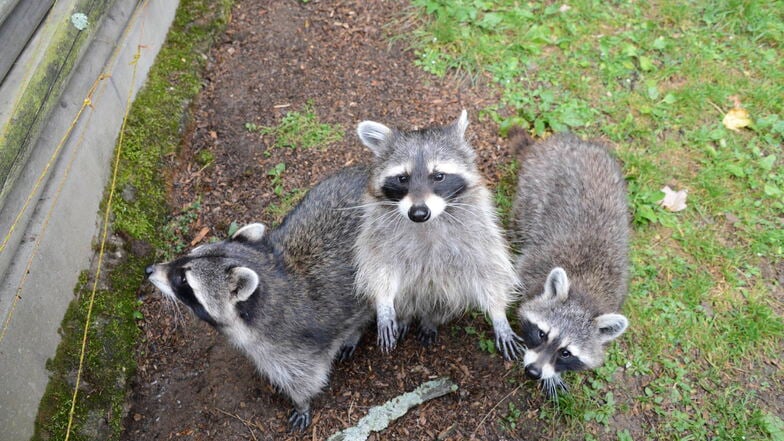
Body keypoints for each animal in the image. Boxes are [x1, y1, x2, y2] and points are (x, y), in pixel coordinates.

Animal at [146, 166, 374, 430]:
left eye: (183, 280)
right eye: (184, 258)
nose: (149, 270)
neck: (272, 271)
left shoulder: (292, 345)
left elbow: (305, 377)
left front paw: (301, 402)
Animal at [354, 110, 524, 358]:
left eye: (438, 176)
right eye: (402, 178)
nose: (418, 213)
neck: (429, 223)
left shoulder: (479, 232)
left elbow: (489, 271)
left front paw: (498, 314)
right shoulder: (379, 233)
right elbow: (380, 268)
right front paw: (384, 304)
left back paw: (430, 321)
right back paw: (404, 318)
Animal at [512, 131, 632, 396]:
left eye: (566, 353)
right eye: (542, 334)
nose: (533, 372)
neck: (584, 295)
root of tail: (568, 141)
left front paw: (552, 376)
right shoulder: (532, 266)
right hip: (532, 187)